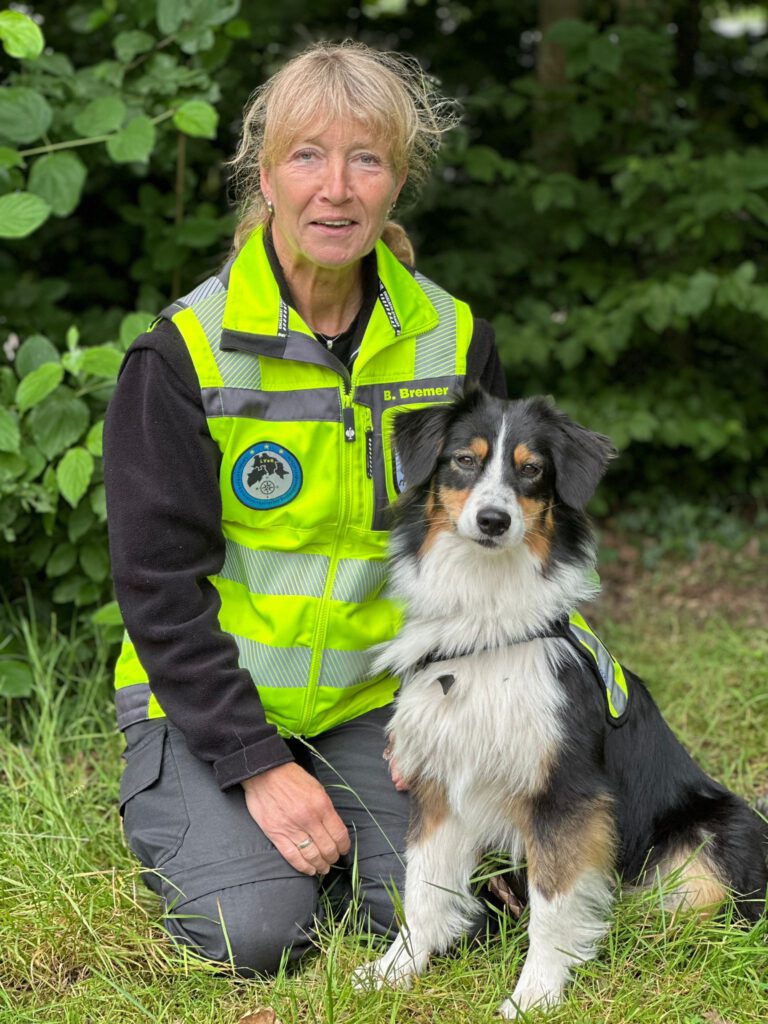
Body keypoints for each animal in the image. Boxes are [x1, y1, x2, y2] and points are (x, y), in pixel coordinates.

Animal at [356, 389, 768, 1015]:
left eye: (532, 470)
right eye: (463, 460)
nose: (494, 520)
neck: (488, 619)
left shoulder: (565, 794)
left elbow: (551, 910)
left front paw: (536, 995)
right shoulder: (440, 781)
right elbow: (423, 888)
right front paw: (395, 971)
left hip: (716, 835)